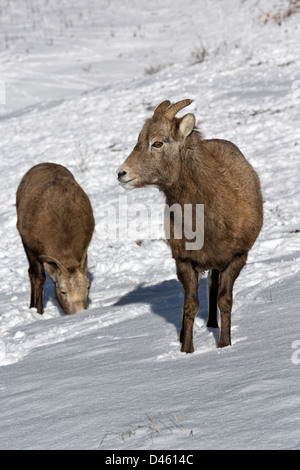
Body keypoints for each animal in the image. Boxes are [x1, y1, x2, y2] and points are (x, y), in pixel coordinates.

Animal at [16, 162, 94, 316]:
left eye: (88, 287)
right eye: (63, 292)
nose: (80, 313)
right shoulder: (33, 250)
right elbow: (39, 278)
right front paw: (40, 312)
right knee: (31, 273)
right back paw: (32, 306)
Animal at [117, 98, 262, 352]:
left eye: (157, 143)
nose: (122, 173)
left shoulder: (236, 259)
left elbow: (225, 301)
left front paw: (224, 345)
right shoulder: (184, 262)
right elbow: (190, 306)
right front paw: (186, 349)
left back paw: (213, 326)